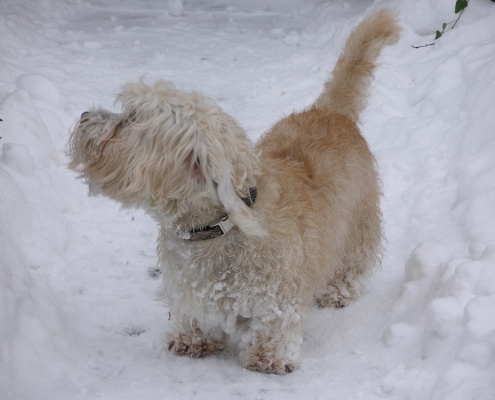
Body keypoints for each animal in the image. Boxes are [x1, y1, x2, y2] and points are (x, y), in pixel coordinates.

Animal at [68, 9, 402, 374]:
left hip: (359, 223)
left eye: (130, 119)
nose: (84, 115)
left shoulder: (280, 295)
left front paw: (269, 357)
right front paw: (192, 339)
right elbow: (192, 315)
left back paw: (340, 290)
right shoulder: (189, 288)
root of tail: (331, 111)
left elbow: (276, 324)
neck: (218, 228)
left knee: (355, 260)